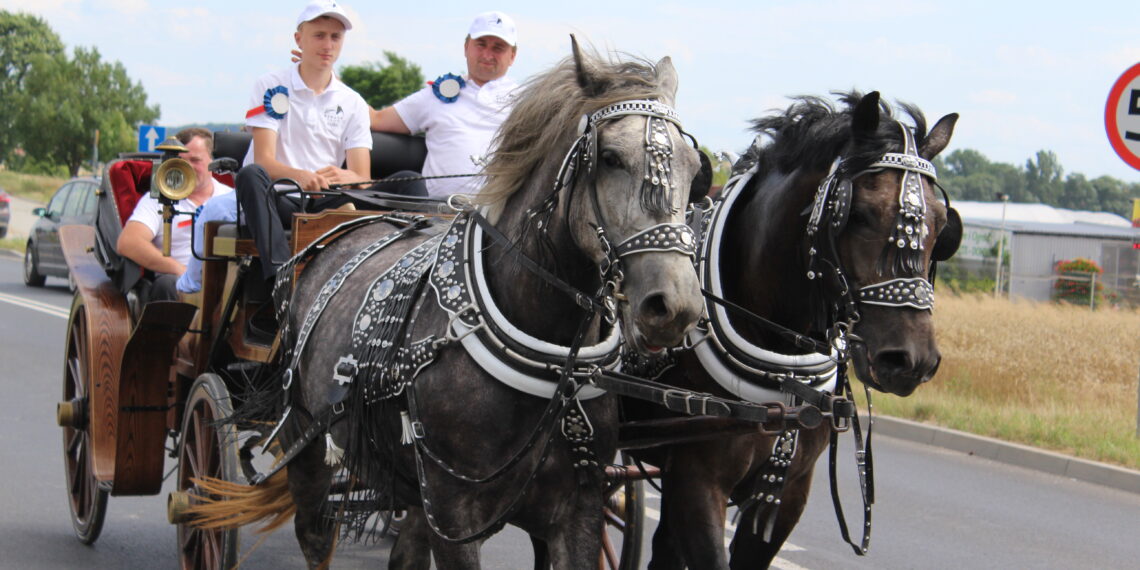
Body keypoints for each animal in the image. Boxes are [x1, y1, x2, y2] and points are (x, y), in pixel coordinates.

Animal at [198, 42, 711, 567]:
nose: (674, 306)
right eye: (609, 158)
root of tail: (344, 222)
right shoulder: (453, 512)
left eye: (695, 169)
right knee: (314, 534)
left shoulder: (580, 508)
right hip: (306, 438)